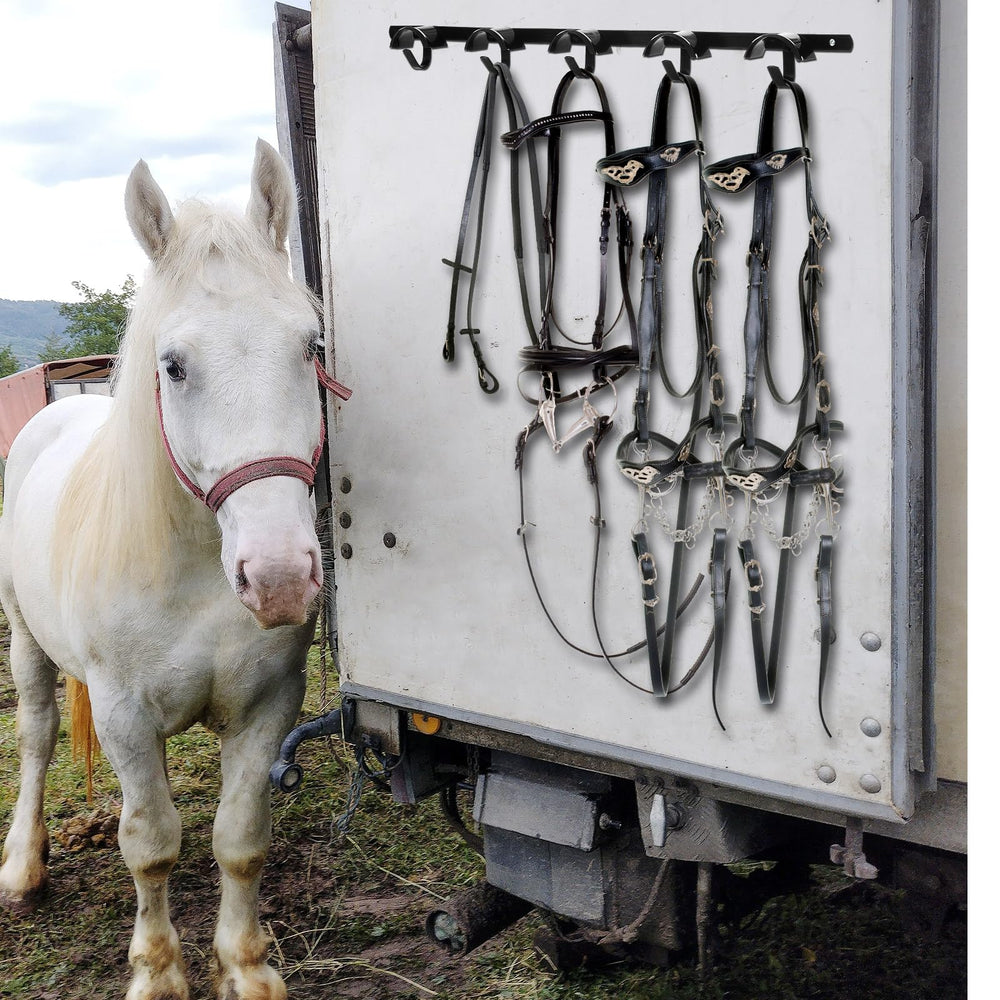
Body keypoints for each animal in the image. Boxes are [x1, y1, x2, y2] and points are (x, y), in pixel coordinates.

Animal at [0, 140, 337, 1000]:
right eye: (174, 365)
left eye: (309, 346)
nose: (278, 577)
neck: (195, 573)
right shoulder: (125, 714)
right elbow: (150, 845)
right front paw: (157, 973)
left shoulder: (268, 705)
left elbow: (239, 839)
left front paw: (245, 966)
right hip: (25, 642)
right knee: (37, 738)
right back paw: (23, 866)